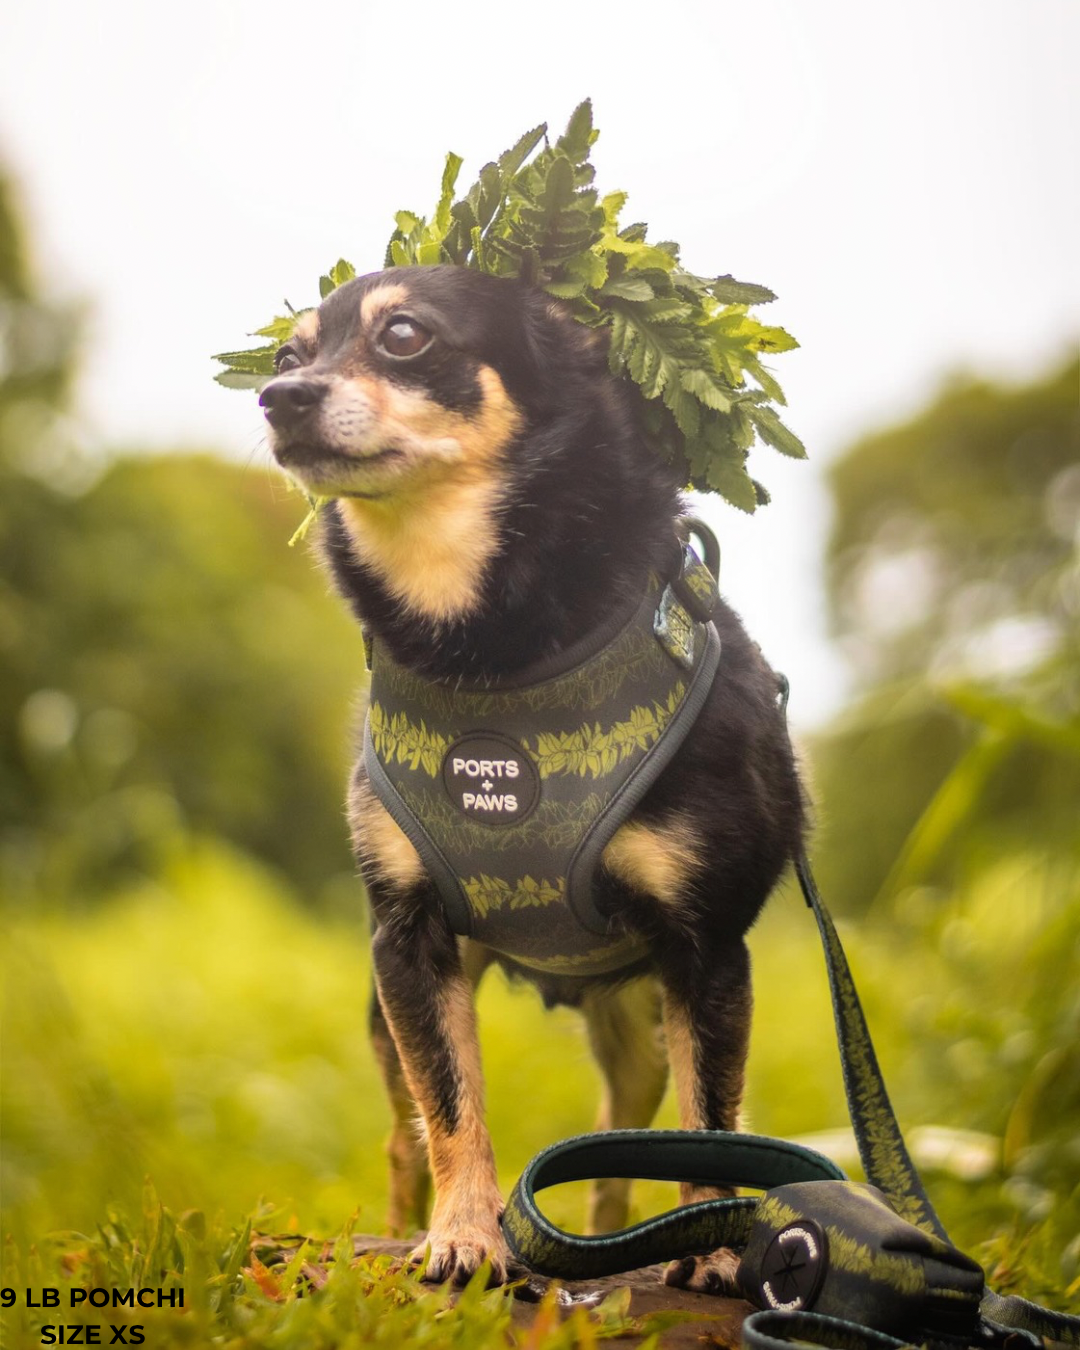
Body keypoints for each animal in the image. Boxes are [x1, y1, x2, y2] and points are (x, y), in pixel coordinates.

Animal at [259, 263, 799, 1285]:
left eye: (404, 335)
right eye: (286, 354)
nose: (278, 398)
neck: (492, 661)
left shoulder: (708, 949)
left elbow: (713, 1118)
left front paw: (712, 1249)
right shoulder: (408, 943)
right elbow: (452, 1111)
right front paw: (465, 1235)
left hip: (644, 1019)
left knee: (624, 1144)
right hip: (396, 1010)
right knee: (406, 1136)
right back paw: (407, 1222)